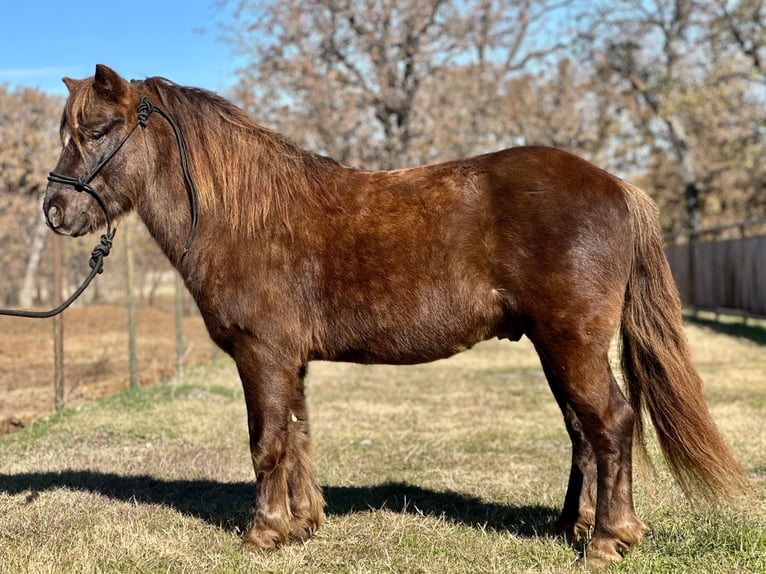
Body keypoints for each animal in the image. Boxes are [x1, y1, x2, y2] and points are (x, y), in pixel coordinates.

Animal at [42, 65, 752, 568]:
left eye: (97, 132)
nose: (55, 210)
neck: (245, 214)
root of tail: (617, 186)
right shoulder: (290, 361)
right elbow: (298, 434)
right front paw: (303, 523)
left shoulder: (261, 354)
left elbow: (267, 442)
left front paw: (263, 532)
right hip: (556, 348)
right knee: (584, 432)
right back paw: (569, 527)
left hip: (570, 343)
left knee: (610, 424)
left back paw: (608, 539)